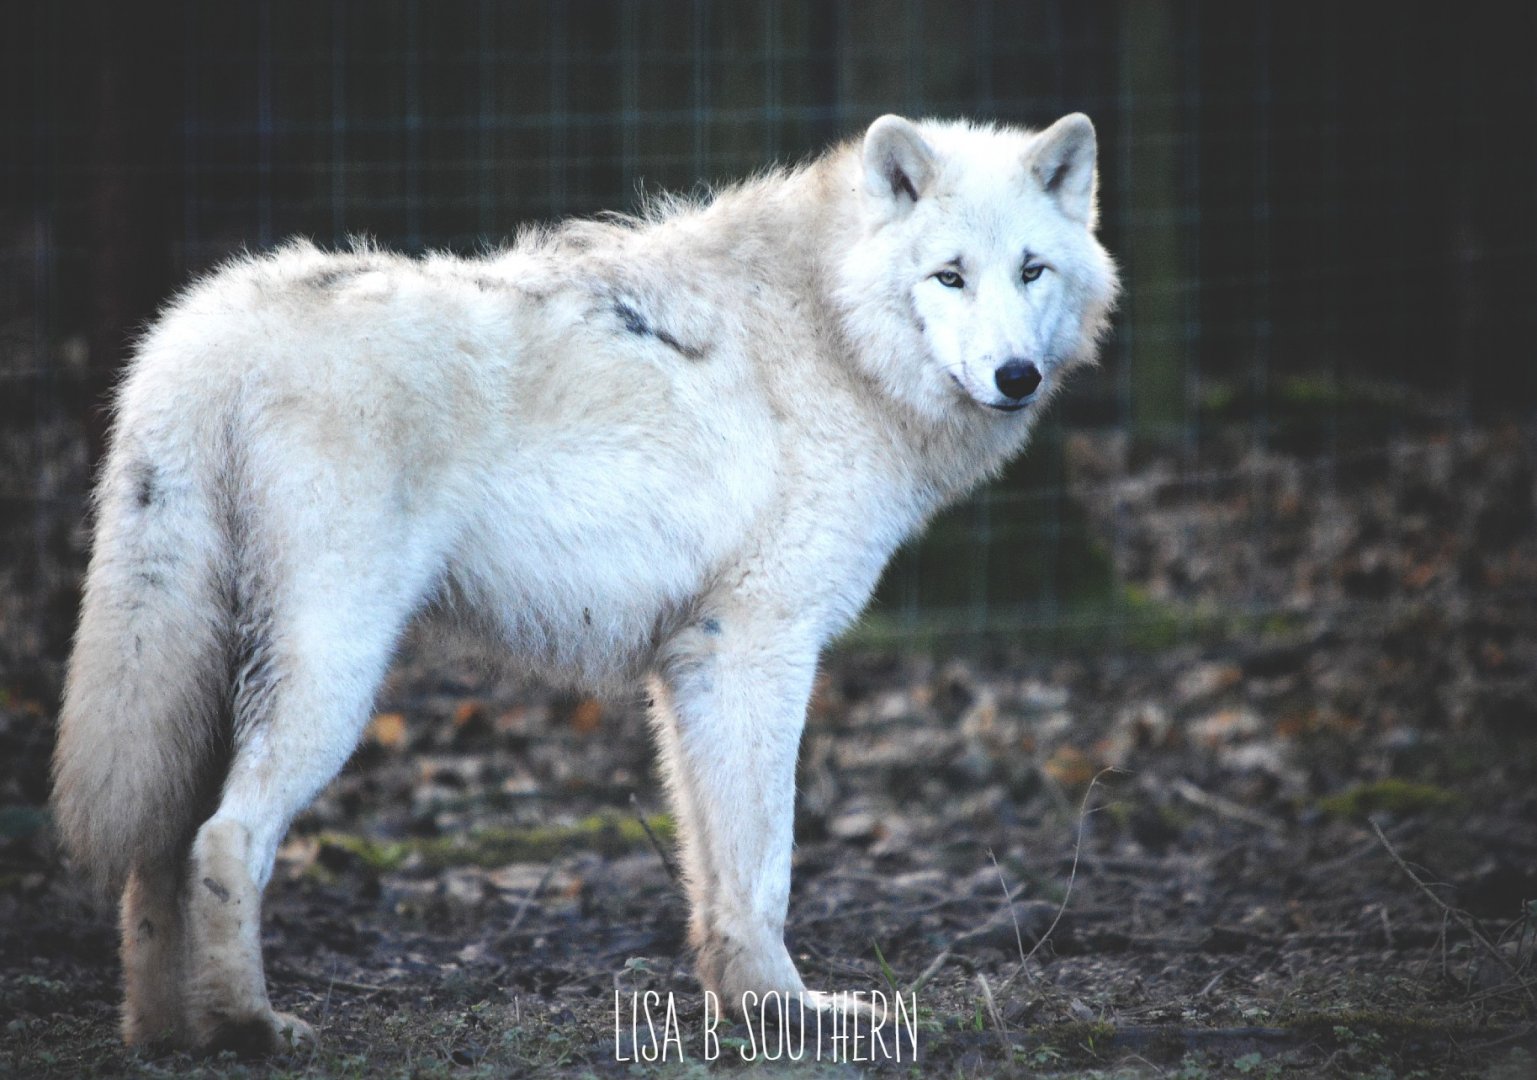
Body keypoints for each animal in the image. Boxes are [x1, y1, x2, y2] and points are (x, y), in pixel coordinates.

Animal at [52, 113, 1118, 1053]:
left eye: (1032, 269)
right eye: (949, 275)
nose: (1016, 376)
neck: (828, 333)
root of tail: (203, 332)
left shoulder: (691, 664)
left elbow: (717, 875)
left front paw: (755, 1012)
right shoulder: (758, 647)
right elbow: (768, 863)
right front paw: (792, 1014)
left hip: (206, 685)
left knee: (158, 858)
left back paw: (166, 1035)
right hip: (332, 677)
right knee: (224, 840)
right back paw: (250, 1028)